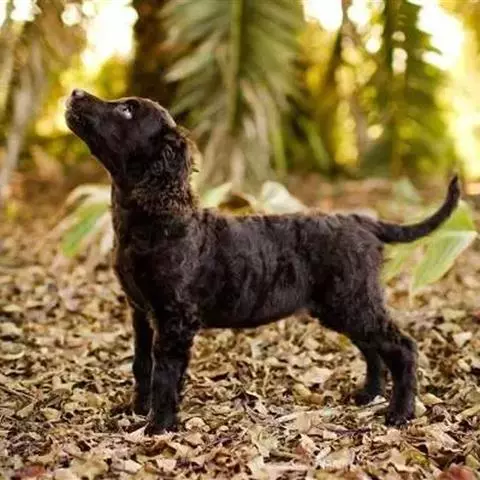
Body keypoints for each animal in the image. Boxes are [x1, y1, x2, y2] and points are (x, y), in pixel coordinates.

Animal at [65, 89, 460, 435]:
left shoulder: (174, 319)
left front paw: (158, 426)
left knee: (402, 348)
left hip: (353, 302)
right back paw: (369, 395)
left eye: (127, 110)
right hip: (343, 306)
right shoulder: (141, 311)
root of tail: (361, 220)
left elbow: (164, 374)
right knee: (374, 350)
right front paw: (136, 409)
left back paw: (399, 413)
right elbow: (142, 364)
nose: (74, 92)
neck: (153, 219)